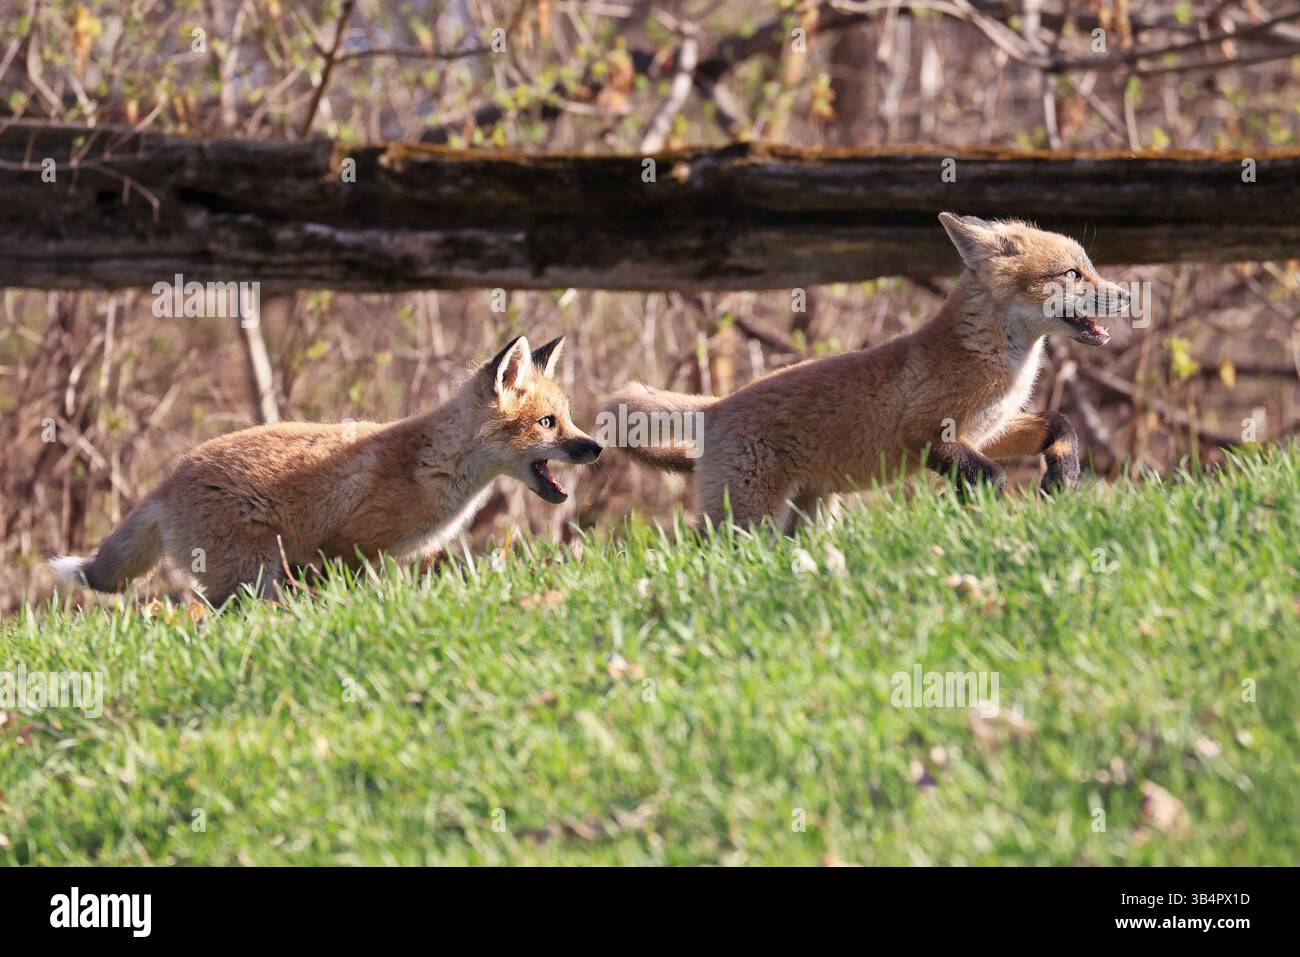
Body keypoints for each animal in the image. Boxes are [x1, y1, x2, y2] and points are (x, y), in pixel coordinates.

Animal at [49, 335, 602, 606]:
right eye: (547, 424)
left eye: (567, 419)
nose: (596, 448)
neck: (435, 465)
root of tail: (165, 483)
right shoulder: (346, 548)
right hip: (250, 577)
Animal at [604, 213, 1129, 531]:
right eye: (1071, 275)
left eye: (1088, 268)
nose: (1126, 296)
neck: (993, 362)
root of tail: (717, 405)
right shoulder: (925, 434)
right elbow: (991, 477)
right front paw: (982, 515)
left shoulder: (988, 430)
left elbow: (1059, 424)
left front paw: (1063, 476)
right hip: (750, 520)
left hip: (807, 517)